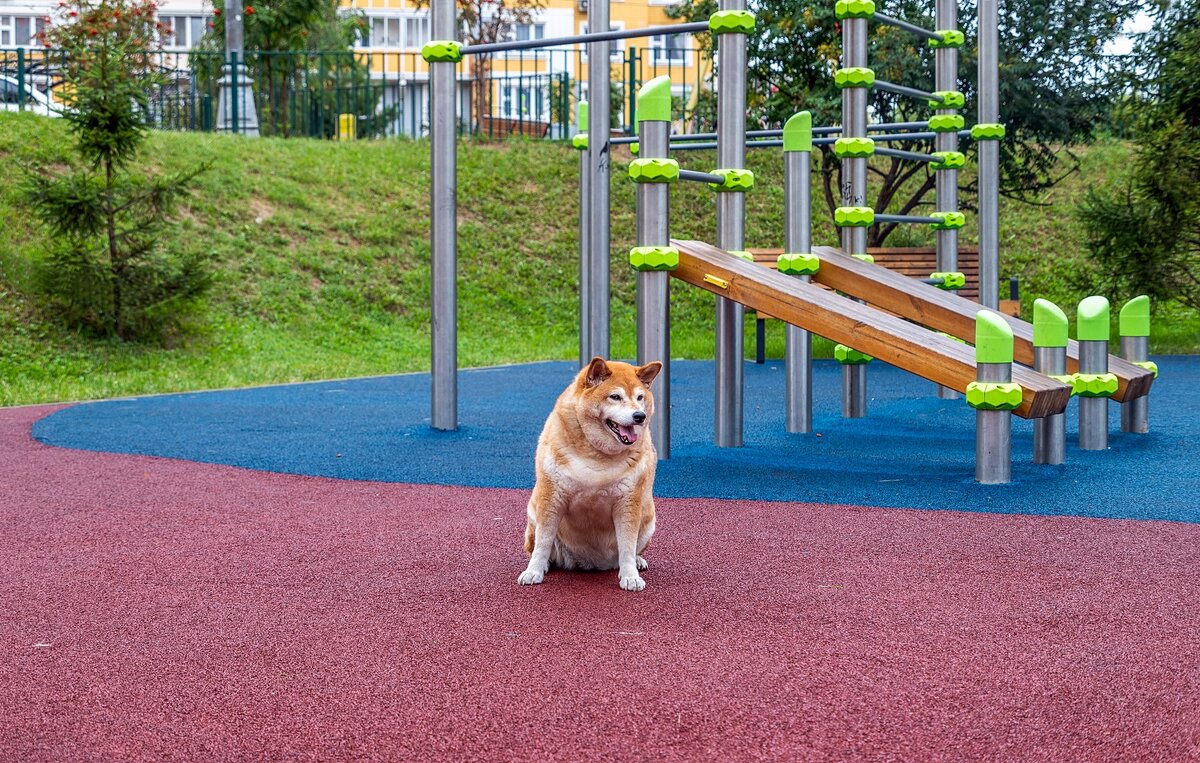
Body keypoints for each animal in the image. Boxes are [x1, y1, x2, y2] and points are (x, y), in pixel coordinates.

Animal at [516, 355, 667, 592]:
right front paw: (534, 571)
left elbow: (627, 546)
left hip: (649, 519)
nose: (639, 416)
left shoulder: (628, 502)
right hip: (533, 513)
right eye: (615, 396)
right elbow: (542, 543)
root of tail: (591, 563)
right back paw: (546, 564)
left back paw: (638, 561)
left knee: (634, 549)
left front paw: (630, 576)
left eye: (640, 397)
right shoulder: (552, 498)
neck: (597, 455)